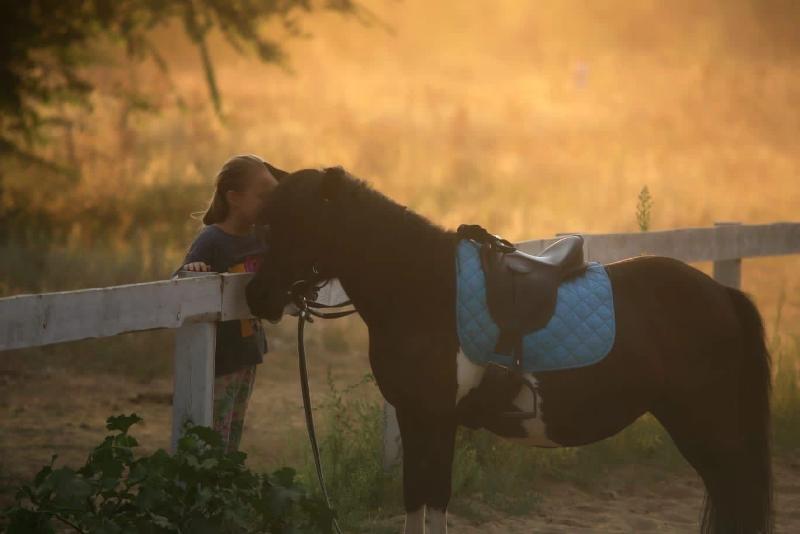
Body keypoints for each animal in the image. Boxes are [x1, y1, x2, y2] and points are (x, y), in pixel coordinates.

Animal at [247, 168, 772, 534]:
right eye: (267, 222)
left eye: (301, 222)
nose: (257, 297)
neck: (423, 288)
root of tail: (721, 293)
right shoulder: (415, 418)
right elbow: (418, 499)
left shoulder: (436, 418)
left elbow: (434, 497)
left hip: (704, 427)